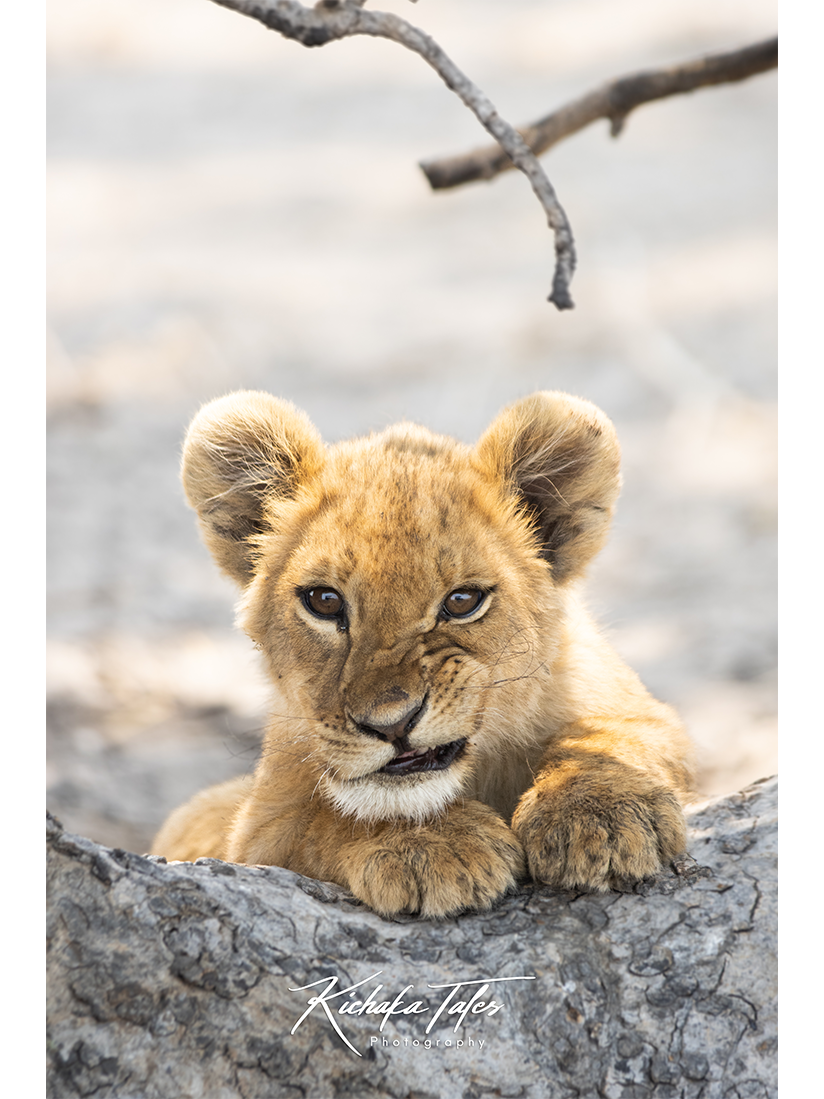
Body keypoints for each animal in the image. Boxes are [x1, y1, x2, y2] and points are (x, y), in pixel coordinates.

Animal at [152, 390, 694, 917]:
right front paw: (433, 846)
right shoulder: (258, 826)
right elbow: (329, 813)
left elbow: (616, 731)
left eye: (463, 601)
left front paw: (599, 812)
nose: (392, 724)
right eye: (323, 601)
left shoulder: (619, 696)